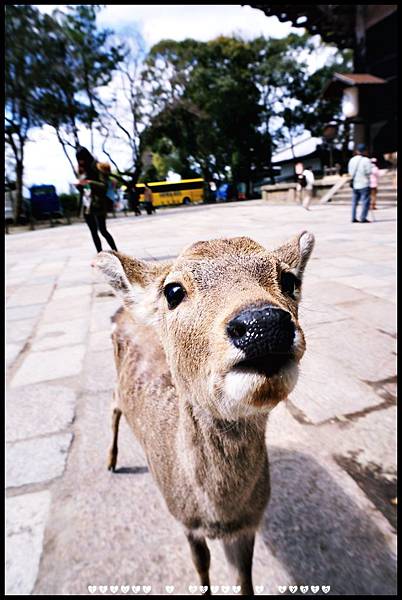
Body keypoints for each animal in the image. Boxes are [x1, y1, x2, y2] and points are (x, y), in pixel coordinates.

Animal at [92, 231, 316, 596]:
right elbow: (202, 568)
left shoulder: (248, 524)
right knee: (113, 404)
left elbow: (244, 578)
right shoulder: (184, 520)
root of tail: (122, 311)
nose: (263, 323)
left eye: (288, 279)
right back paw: (111, 461)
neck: (218, 514)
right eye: (173, 291)